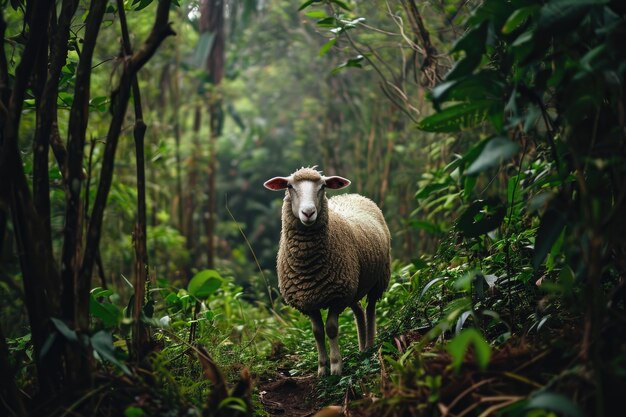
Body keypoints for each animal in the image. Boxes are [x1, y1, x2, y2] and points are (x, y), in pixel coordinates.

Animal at [264, 167, 390, 376]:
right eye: (289, 186)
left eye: (323, 186)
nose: (308, 212)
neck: (308, 267)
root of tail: (354, 195)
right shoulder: (308, 300)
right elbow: (317, 332)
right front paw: (322, 368)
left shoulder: (337, 297)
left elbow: (331, 329)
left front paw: (336, 366)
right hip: (353, 286)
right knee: (359, 311)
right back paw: (362, 348)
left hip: (378, 280)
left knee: (370, 309)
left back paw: (370, 347)